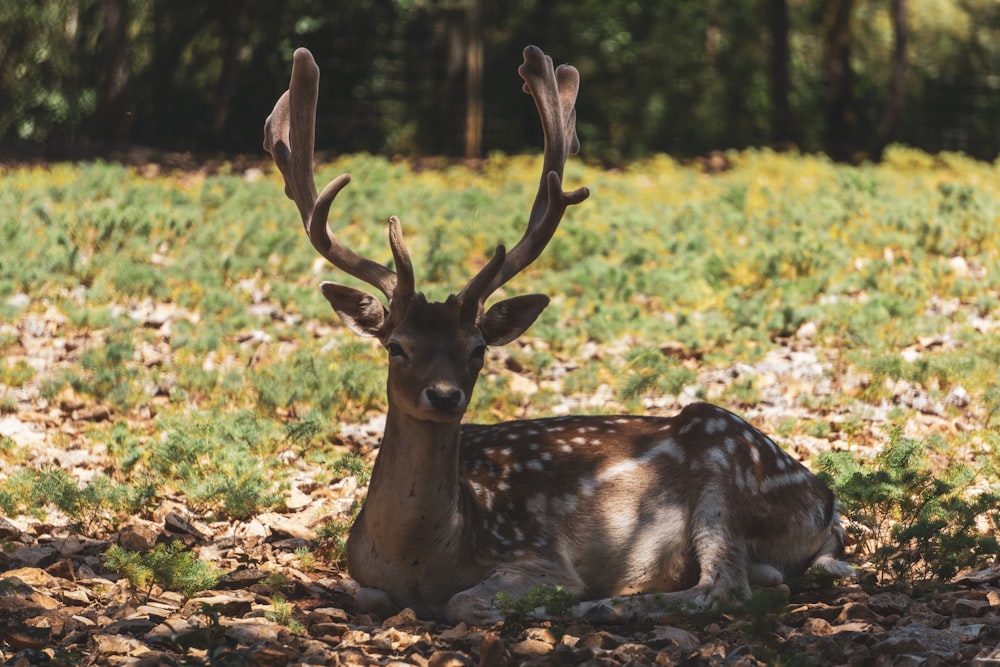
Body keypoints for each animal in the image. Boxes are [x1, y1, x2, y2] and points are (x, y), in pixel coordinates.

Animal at [264, 45, 852, 628]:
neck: (425, 555)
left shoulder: (537, 556)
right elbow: (368, 596)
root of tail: (826, 503)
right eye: (396, 345)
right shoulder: (363, 574)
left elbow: (464, 602)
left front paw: (551, 603)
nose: (445, 395)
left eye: (477, 349)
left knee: (724, 586)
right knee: (761, 580)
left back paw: (604, 603)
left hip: (724, 479)